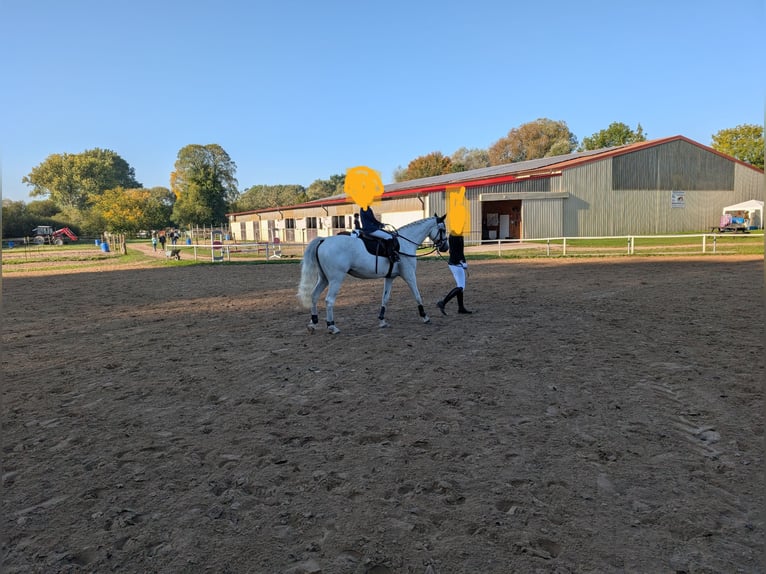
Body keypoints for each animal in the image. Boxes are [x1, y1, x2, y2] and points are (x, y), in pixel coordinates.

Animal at [297, 214, 448, 334]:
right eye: (443, 229)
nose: (445, 247)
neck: (405, 243)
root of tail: (324, 240)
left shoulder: (390, 277)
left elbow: (385, 298)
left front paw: (382, 321)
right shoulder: (409, 275)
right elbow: (417, 295)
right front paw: (425, 317)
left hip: (324, 279)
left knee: (314, 296)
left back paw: (313, 323)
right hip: (336, 279)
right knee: (329, 300)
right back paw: (332, 326)